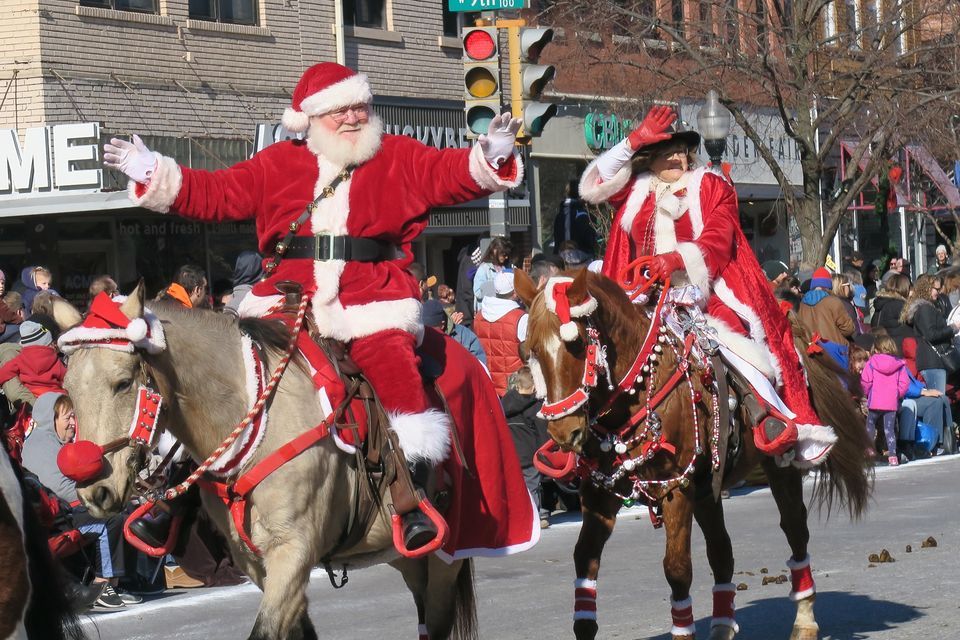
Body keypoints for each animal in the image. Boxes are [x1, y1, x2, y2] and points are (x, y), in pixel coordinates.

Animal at [49, 288, 476, 640]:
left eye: (123, 383)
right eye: (67, 388)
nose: (94, 490)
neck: (256, 415)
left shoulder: (293, 550)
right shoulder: (256, 561)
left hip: (446, 556)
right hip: (407, 559)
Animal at [516, 268, 872, 640]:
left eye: (578, 344)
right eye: (532, 350)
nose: (563, 432)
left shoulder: (676, 488)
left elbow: (677, 569)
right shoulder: (601, 494)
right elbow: (585, 561)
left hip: (778, 466)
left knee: (794, 530)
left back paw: (804, 622)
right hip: (707, 487)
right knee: (722, 551)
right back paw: (723, 626)